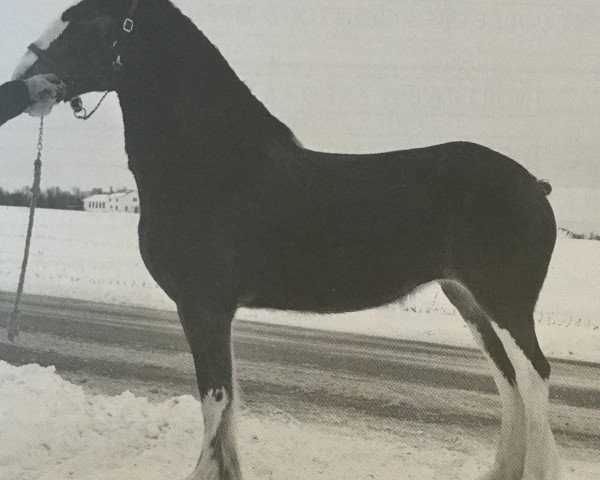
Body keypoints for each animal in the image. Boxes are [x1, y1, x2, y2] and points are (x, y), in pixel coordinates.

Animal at [14, 0, 564, 480]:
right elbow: (227, 397)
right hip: (469, 301)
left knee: (533, 378)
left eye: (86, 20)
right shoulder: (213, 310)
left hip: (506, 303)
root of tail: (534, 184)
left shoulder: (203, 306)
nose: (24, 75)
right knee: (509, 381)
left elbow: (215, 397)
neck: (212, 166)